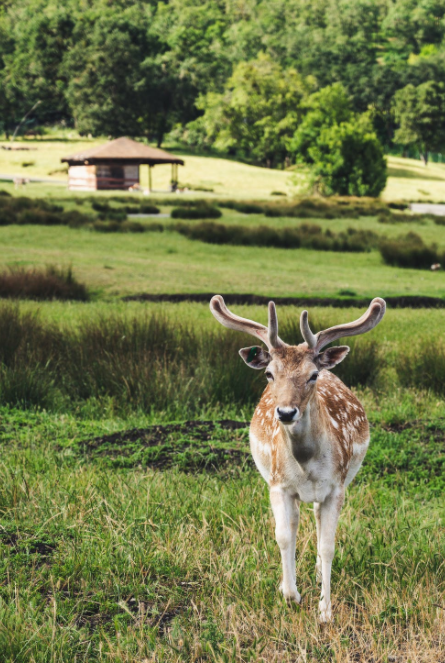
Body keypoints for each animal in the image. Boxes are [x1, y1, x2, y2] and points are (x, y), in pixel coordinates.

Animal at [209, 296, 386, 624]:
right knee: (294, 524)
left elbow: (328, 546)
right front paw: (290, 594)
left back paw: (316, 575)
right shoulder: (278, 485)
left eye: (311, 375)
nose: (286, 412)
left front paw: (325, 611)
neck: (305, 463)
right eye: (270, 374)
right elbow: (283, 536)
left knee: (315, 518)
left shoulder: (336, 487)